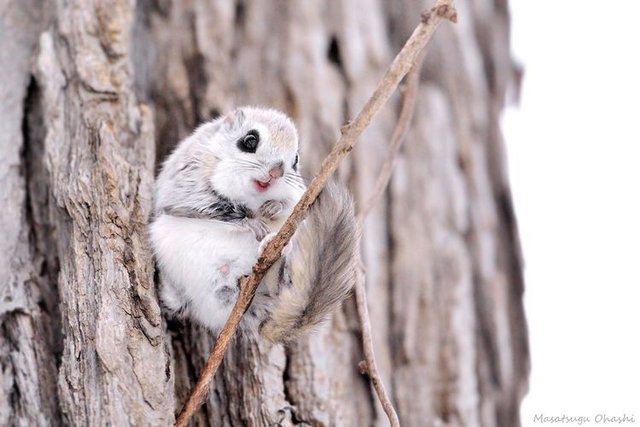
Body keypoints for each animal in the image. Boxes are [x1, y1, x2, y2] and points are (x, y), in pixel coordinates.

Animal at [150, 107, 360, 344]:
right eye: (249, 141)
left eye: (296, 160)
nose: (277, 172)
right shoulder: (186, 183)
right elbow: (210, 206)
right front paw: (251, 222)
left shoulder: (298, 194)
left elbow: (290, 204)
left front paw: (274, 207)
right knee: (178, 303)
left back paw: (273, 246)